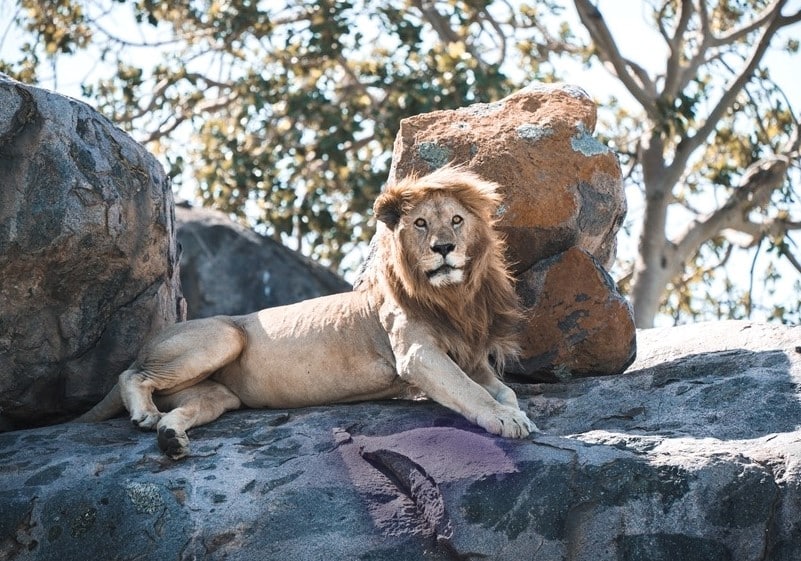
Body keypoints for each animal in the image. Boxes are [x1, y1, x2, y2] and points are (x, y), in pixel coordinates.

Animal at [76, 164, 536, 458]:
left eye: (457, 220)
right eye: (421, 223)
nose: (444, 248)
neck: (453, 297)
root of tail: (147, 345)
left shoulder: (471, 358)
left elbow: (502, 389)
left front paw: (515, 412)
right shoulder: (416, 355)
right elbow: (470, 391)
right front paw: (506, 420)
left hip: (219, 394)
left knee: (188, 404)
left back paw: (170, 437)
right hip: (225, 335)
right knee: (130, 374)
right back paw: (145, 415)